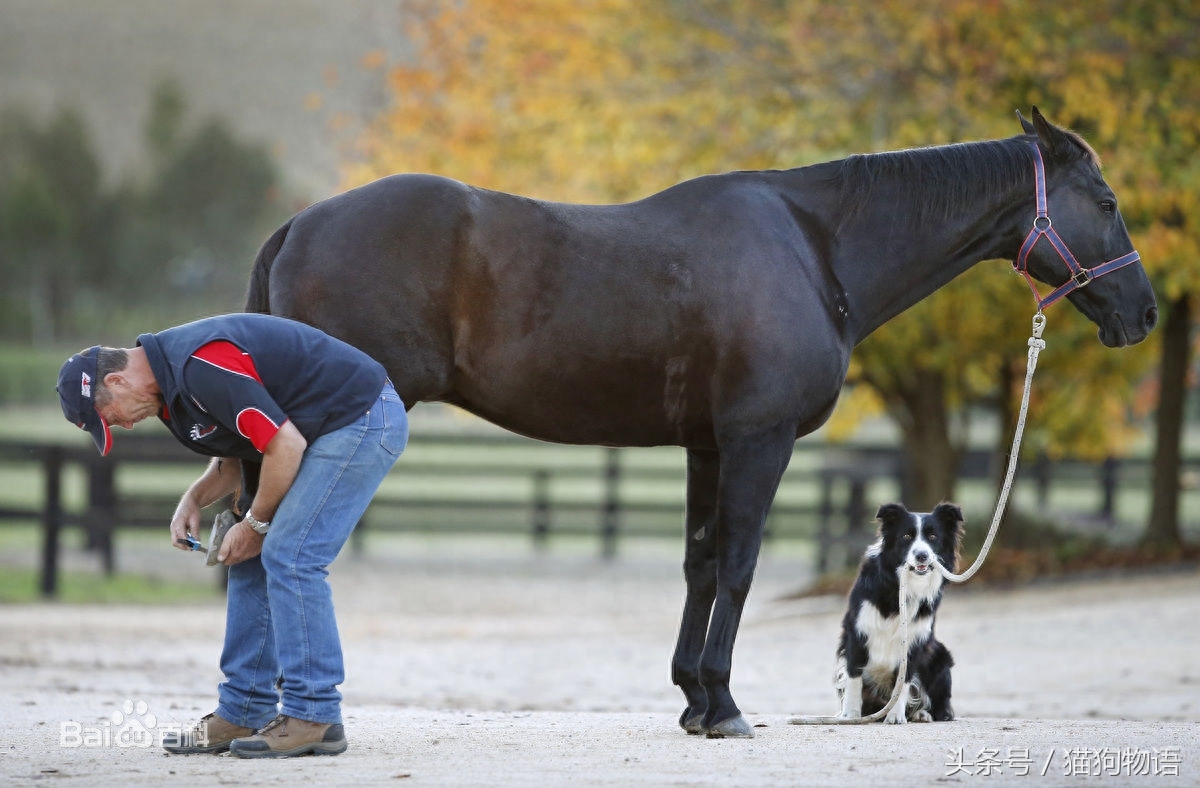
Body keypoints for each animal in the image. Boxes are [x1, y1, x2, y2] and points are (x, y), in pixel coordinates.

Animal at [243, 109, 1152, 738]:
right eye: (1107, 200)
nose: (1142, 312)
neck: (815, 248)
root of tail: (299, 225)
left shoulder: (706, 446)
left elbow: (702, 567)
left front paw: (690, 698)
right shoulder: (759, 441)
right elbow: (742, 568)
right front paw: (723, 705)